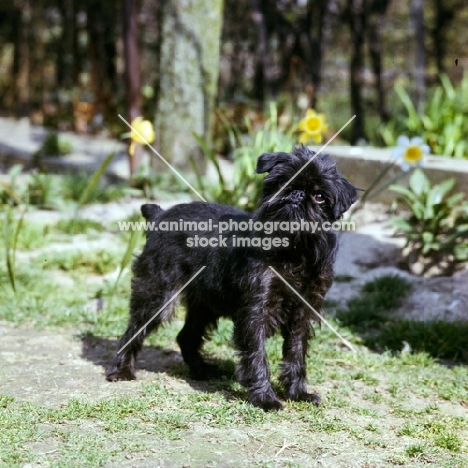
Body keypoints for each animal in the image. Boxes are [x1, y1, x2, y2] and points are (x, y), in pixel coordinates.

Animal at [107, 146, 358, 410]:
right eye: (281, 182)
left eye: (319, 196)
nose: (296, 193)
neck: (293, 250)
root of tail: (161, 214)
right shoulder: (255, 311)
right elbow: (257, 354)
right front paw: (265, 398)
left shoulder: (302, 313)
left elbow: (296, 353)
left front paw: (297, 393)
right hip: (157, 293)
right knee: (134, 331)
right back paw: (122, 371)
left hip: (204, 305)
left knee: (185, 337)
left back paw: (200, 370)